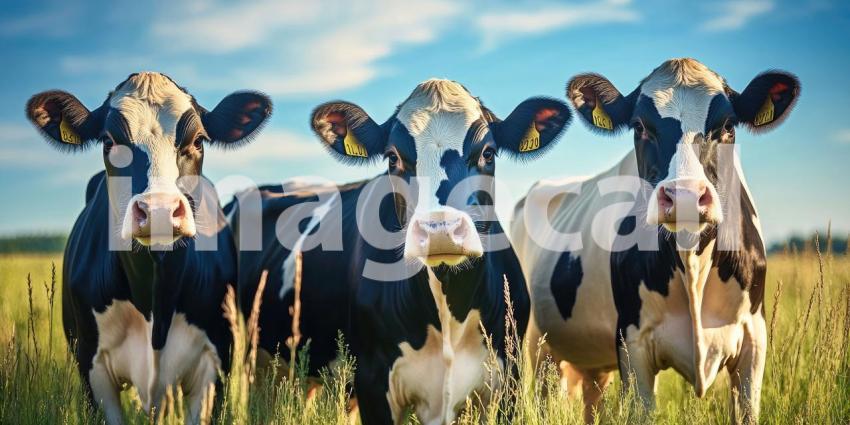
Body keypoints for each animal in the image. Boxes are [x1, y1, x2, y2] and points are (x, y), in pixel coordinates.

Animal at [25, 72, 272, 424]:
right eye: (108, 142)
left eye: (198, 140)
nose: (159, 210)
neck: (155, 300)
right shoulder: (91, 365)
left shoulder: (215, 361)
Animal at [229, 79, 572, 424]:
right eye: (393, 158)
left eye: (488, 153)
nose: (440, 230)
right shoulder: (372, 382)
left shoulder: (507, 381)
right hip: (256, 361)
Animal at [511, 58, 799, 424]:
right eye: (639, 126)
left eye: (728, 125)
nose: (686, 196)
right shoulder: (632, 345)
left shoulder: (753, 341)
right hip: (539, 352)